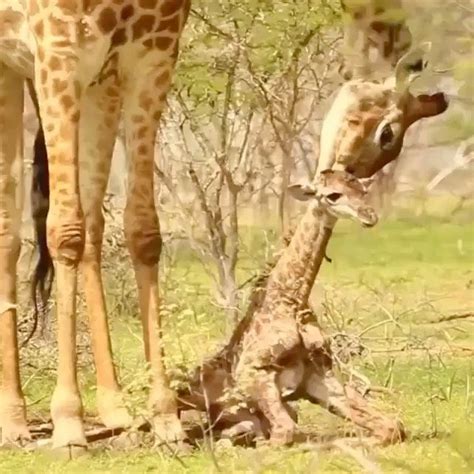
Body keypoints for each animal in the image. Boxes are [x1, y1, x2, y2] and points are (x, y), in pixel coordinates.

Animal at [1, 0, 191, 452]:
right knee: (10, 226)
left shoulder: (152, 57)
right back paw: (12, 421)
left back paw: (108, 409)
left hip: (88, 83)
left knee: (86, 224)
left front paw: (166, 418)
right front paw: (68, 423)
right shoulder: (59, 54)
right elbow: (65, 231)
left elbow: (143, 230)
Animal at [178, 169, 404, 444]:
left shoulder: (318, 374)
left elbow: (392, 426)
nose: (369, 216)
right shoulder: (252, 371)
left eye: (363, 190)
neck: (291, 301)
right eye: (332, 195)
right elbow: (285, 432)